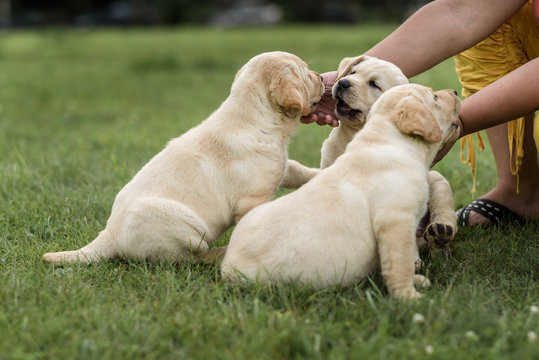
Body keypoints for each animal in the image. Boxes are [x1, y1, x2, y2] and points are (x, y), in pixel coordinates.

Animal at [42, 50, 324, 264]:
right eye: (306, 72)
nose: (322, 77)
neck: (254, 118)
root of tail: (108, 235)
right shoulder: (253, 197)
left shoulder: (279, 166)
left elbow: (296, 169)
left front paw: (319, 175)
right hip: (185, 228)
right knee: (188, 259)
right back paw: (218, 255)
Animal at [221, 83, 462, 300]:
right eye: (435, 97)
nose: (455, 91)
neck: (392, 141)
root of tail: (226, 265)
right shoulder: (395, 220)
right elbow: (399, 262)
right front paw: (409, 297)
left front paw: (417, 280)